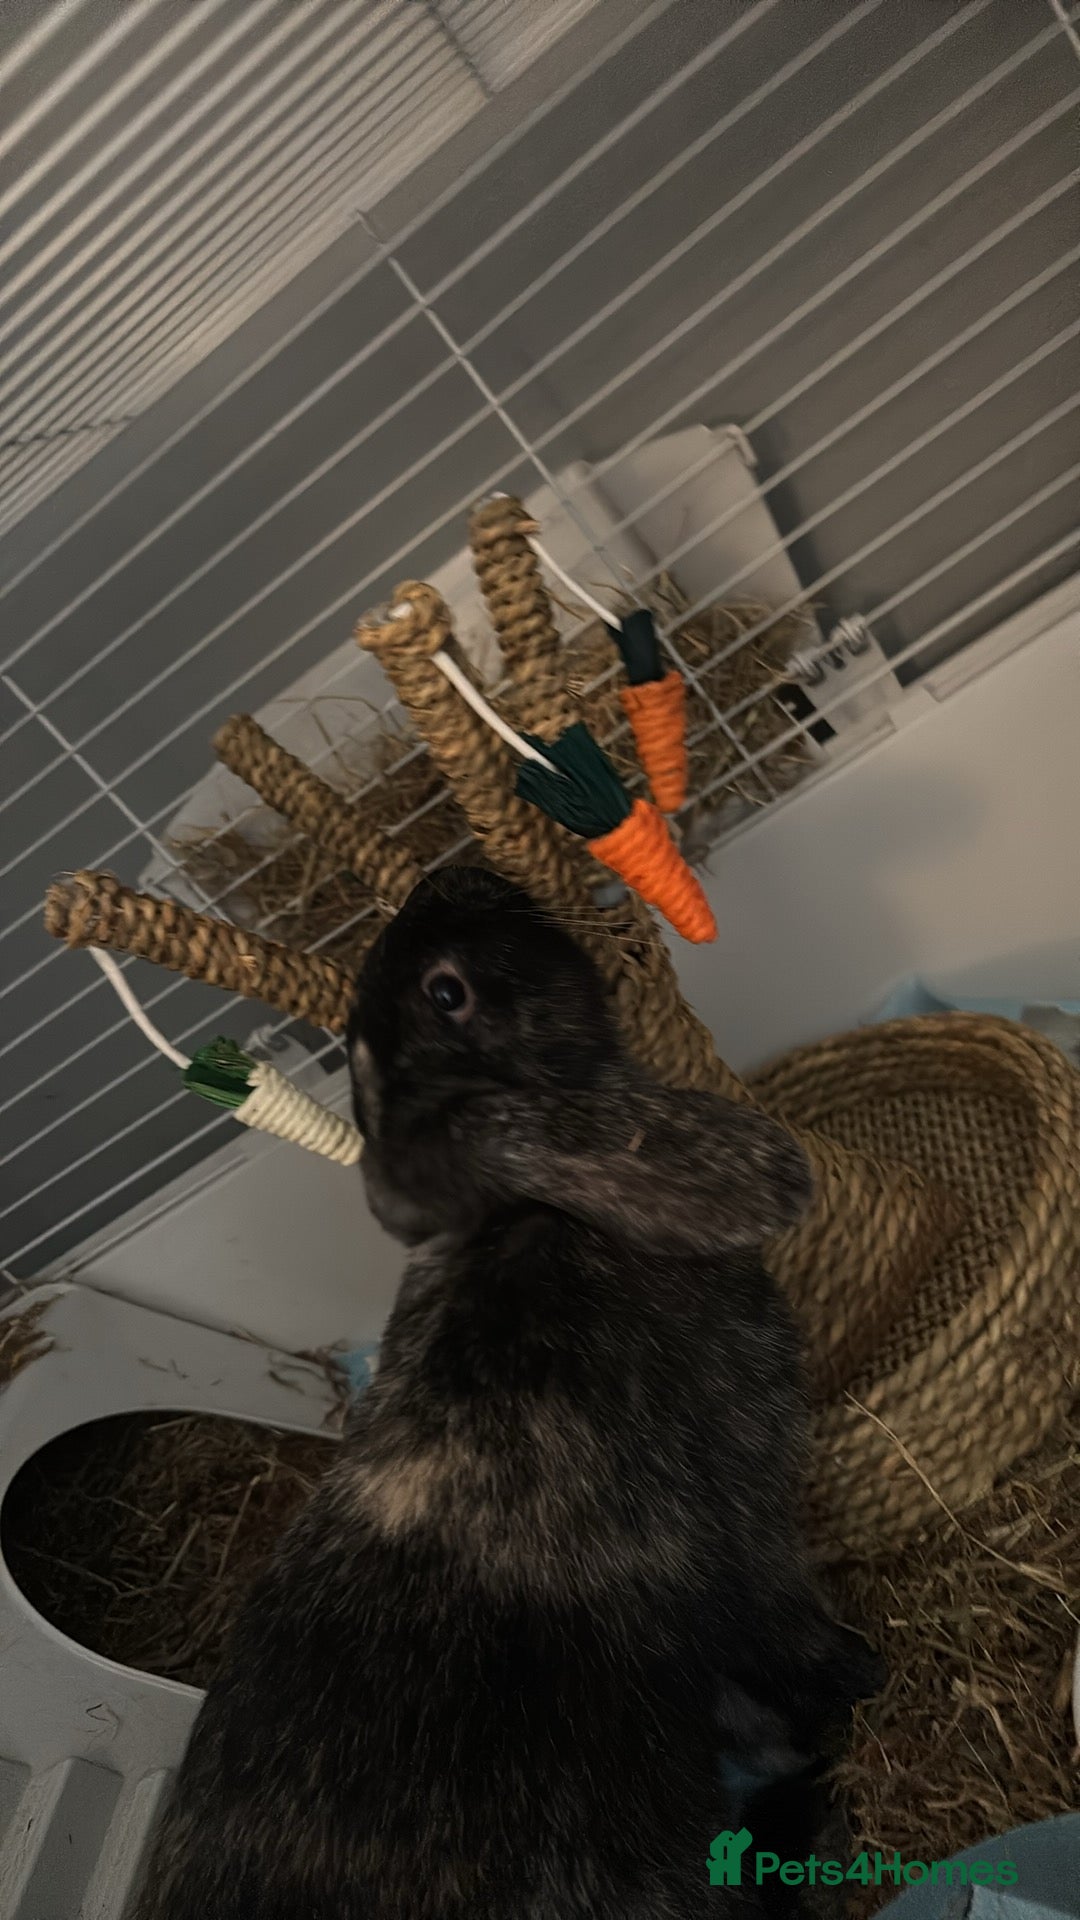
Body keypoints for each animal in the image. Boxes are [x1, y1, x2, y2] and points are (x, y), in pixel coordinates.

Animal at [135, 865, 882, 1920]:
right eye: (448, 992)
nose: (451, 876)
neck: (521, 1223)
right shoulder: (749, 1546)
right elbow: (799, 1649)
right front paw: (871, 1688)